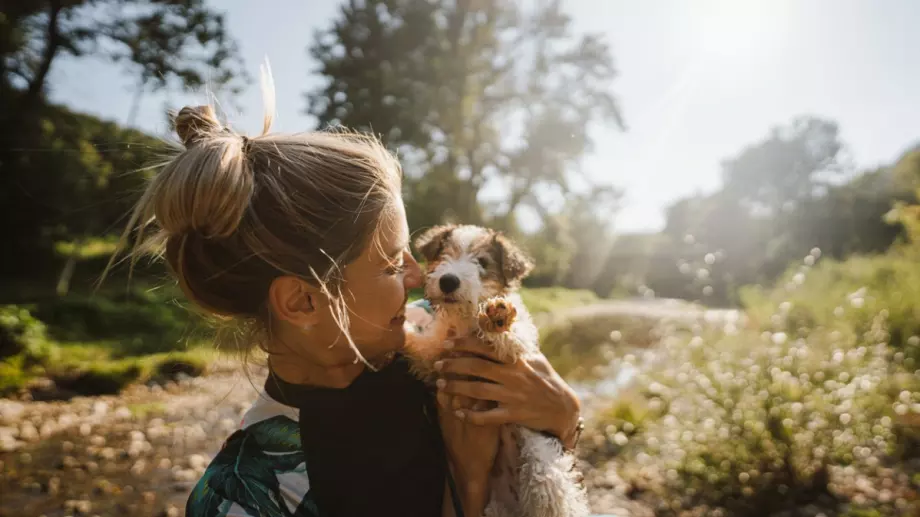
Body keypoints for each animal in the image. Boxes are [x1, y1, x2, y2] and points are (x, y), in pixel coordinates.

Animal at [404, 224, 588, 516]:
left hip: (541, 458)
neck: (464, 319)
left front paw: (496, 318)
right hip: (494, 507)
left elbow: (513, 336)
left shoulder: (521, 345)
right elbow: (421, 345)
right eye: (444, 254)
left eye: (482, 262)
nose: (448, 281)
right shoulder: (435, 357)